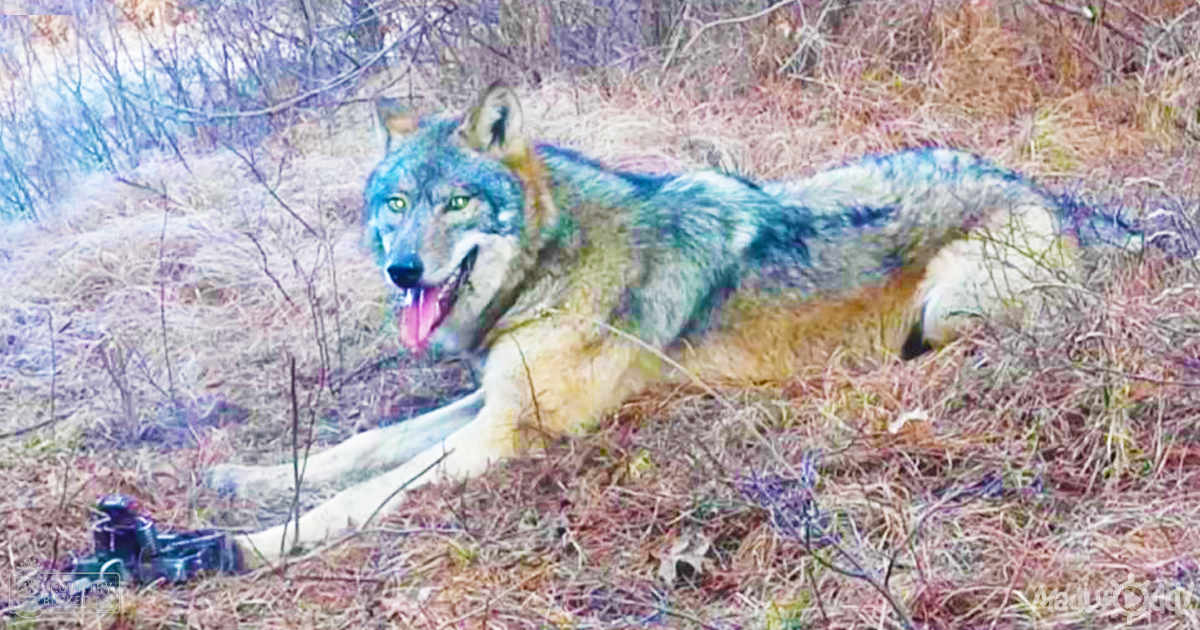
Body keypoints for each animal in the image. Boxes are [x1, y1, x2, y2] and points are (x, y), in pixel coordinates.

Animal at [208, 82, 1132, 566]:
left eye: (457, 203)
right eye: (395, 205)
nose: (402, 270)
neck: (554, 261)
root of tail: (1050, 196)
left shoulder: (509, 432)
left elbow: (364, 494)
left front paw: (238, 547)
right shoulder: (489, 401)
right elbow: (358, 447)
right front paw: (246, 479)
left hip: (948, 307)